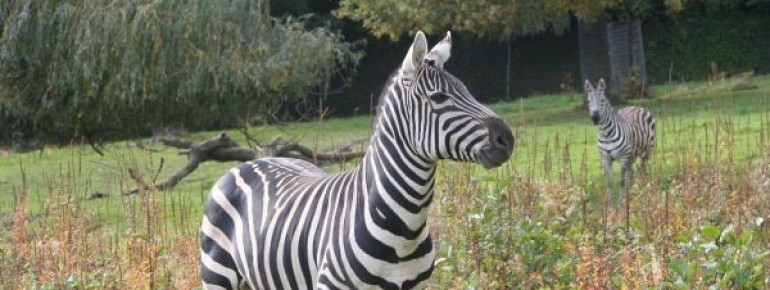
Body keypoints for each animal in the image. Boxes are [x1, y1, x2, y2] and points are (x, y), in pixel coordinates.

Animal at [198, 31, 512, 290]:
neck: (405, 228)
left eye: (466, 89)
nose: (507, 139)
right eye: (438, 97)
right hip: (217, 273)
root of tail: (248, 164)